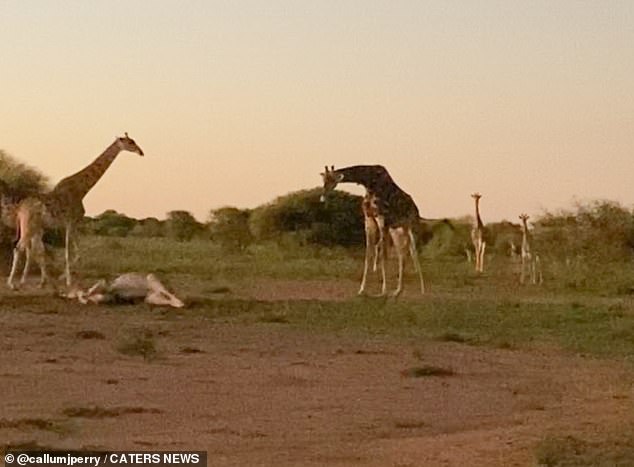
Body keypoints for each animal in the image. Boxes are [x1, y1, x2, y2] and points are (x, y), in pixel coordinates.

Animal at [42, 133, 144, 288]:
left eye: (134, 141)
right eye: (130, 142)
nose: (141, 152)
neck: (81, 189)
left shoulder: (73, 223)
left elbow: (77, 252)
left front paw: (66, 277)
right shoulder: (71, 221)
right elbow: (70, 252)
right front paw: (68, 280)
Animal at [320, 165, 430, 296]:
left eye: (332, 180)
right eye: (323, 180)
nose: (322, 198)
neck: (369, 184)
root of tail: (416, 209)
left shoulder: (381, 219)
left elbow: (382, 254)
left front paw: (383, 291)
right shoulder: (369, 220)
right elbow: (368, 254)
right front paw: (362, 289)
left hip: (412, 228)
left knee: (414, 253)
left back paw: (422, 291)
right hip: (396, 231)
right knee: (402, 255)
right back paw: (398, 291)